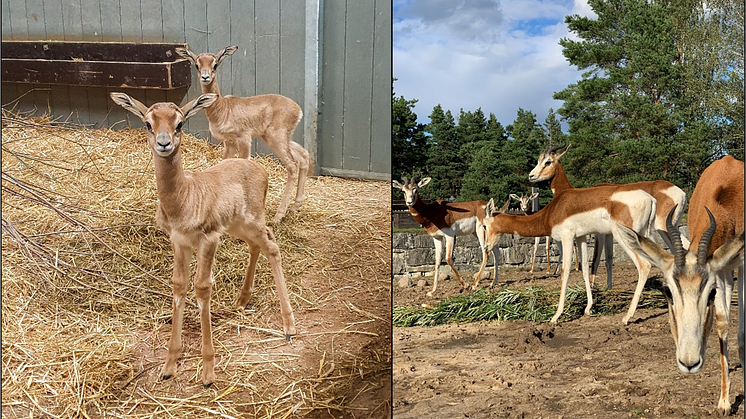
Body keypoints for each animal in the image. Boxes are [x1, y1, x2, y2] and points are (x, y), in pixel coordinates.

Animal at [110, 92, 296, 388]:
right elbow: (179, 285)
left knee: (272, 246)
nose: (164, 143)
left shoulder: (208, 239)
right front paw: (169, 365)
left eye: (180, 123)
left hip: (252, 221)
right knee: (258, 245)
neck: (184, 198)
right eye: (148, 123)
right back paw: (242, 300)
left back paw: (289, 326)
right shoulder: (179, 242)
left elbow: (202, 287)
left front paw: (208, 371)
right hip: (237, 226)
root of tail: (259, 169)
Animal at [175, 45, 308, 226]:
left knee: (292, 165)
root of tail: (298, 110)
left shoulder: (243, 140)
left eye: (215, 64)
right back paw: (295, 206)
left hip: (277, 139)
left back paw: (278, 216)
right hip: (278, 138)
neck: (222, 108)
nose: (205, 77)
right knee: (303, 156)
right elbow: (224, 165)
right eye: (196, 64)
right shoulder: (229, 143)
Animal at [612, 155, 740, 416]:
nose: (689, 362)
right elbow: (722, 322)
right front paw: (724, 402)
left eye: (710, 293)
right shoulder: (722, 270)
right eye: (667, 292)